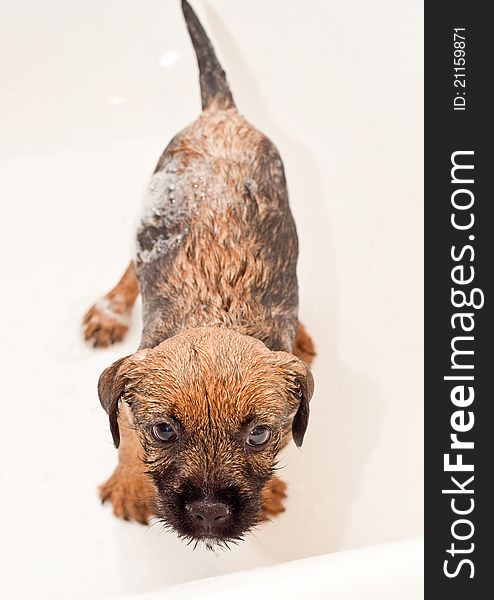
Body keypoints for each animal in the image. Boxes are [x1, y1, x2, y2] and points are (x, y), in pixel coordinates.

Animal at [84, 0, 316, 548]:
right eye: (165, 431)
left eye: (259, 434)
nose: (209, 514)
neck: (215, 315)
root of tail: (221, 114)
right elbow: (124, 437)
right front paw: (128, 484)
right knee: (131, 264)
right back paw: (111, 309)